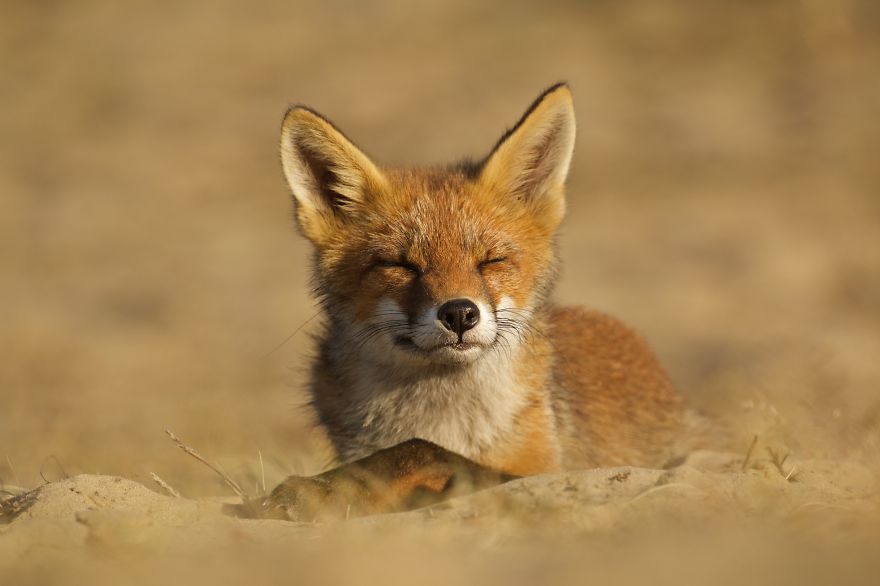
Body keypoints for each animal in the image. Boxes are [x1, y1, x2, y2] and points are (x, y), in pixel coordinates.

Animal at [250, 83, 707, 521]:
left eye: (490, 261)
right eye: (401, 265)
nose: (459, 313)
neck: (443, 417)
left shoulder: (544, 470)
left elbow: (420, 449)